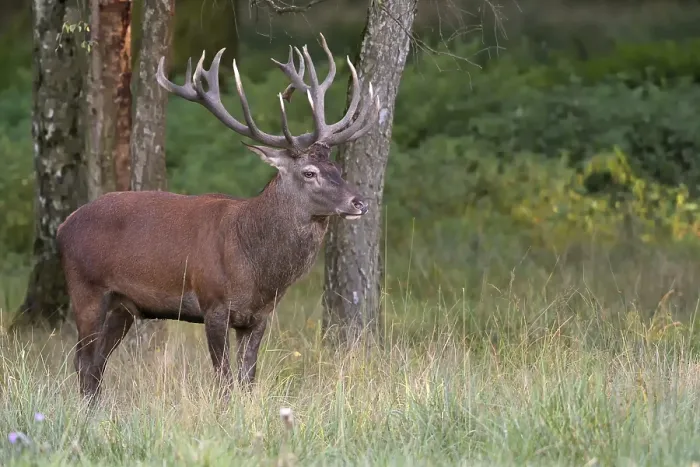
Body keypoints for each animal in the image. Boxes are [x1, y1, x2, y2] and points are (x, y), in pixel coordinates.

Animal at [56, 33, 380, 401]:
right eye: (309, 172)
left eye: (337, 168)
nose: (360, 203)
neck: (256, 269)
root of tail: (63, 227)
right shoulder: (212, 303)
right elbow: (224, 381)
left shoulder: (259, 316)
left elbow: (247, 378)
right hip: (86, 289)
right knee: (82, 360)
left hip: (124, 306)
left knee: (97, 363)